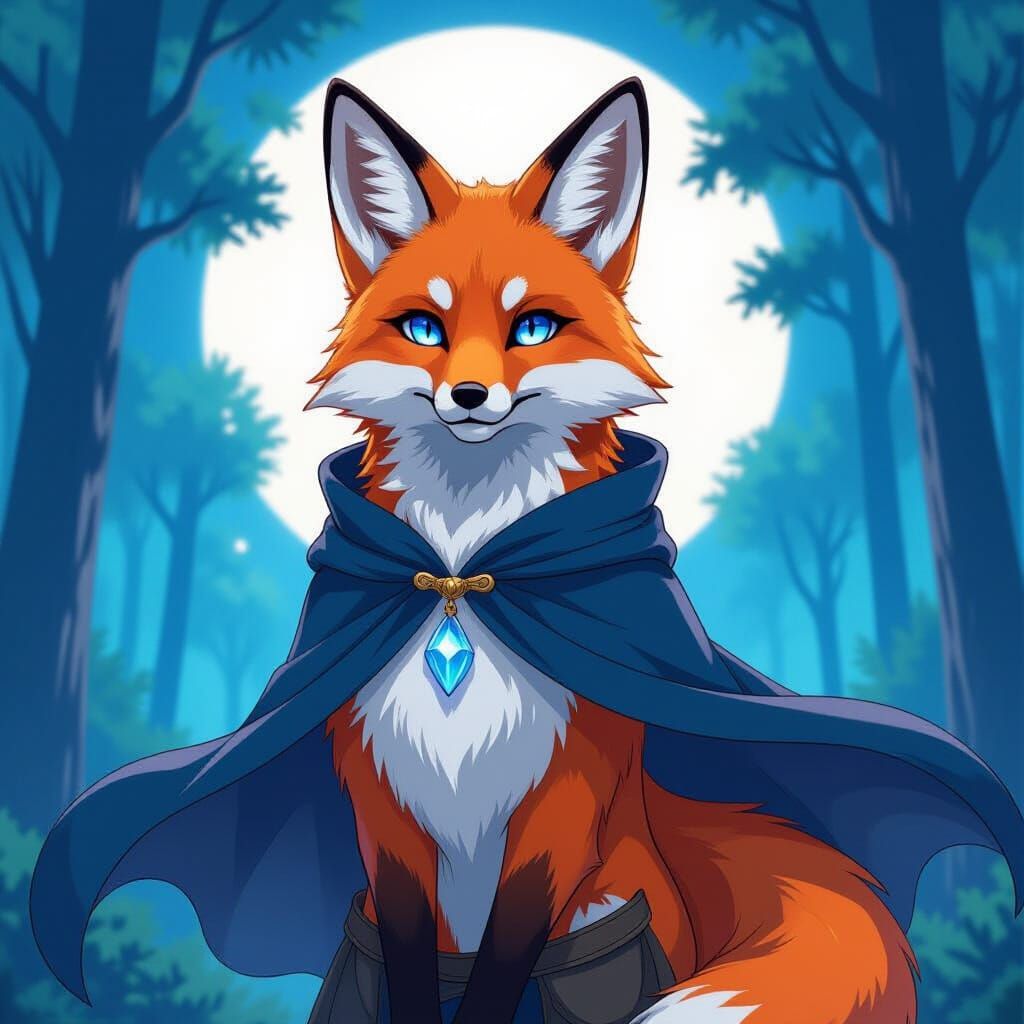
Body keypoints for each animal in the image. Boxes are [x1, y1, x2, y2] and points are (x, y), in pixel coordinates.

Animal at [309, 78, 916, 1024]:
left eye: (531, 328)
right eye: (423, 327)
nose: (470, 395)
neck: (464, 579)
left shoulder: (563, 802)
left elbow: (507, 954)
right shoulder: (384, 806)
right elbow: (409, 951)